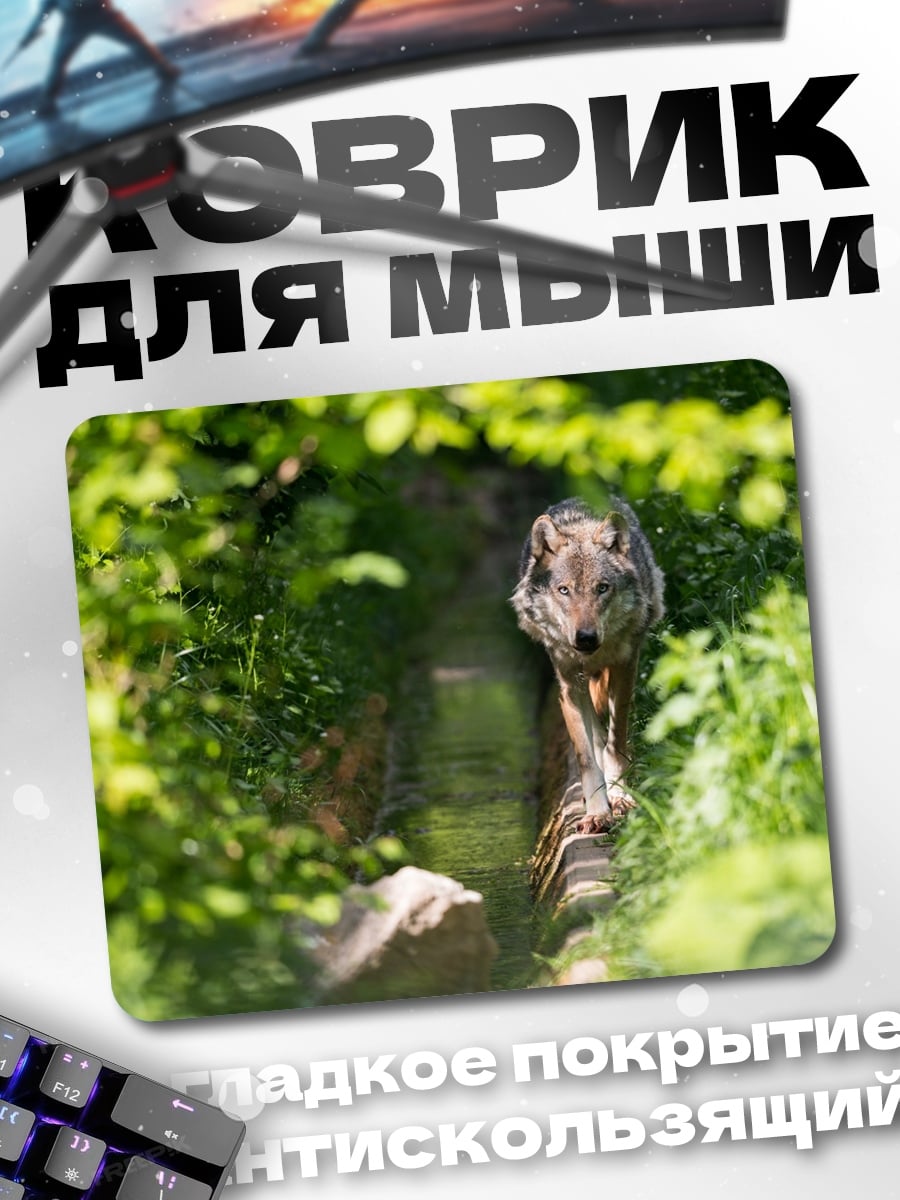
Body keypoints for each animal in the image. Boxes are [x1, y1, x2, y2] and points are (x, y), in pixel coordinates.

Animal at [512, 498, 664, 834]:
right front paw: (597, 811)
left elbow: (615, 743)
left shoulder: (624, 667)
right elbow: (586, 756)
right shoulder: (569, 685)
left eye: (602, 588)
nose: (585, 638)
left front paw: (620, 797)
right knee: (595, 734)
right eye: (564, 590)